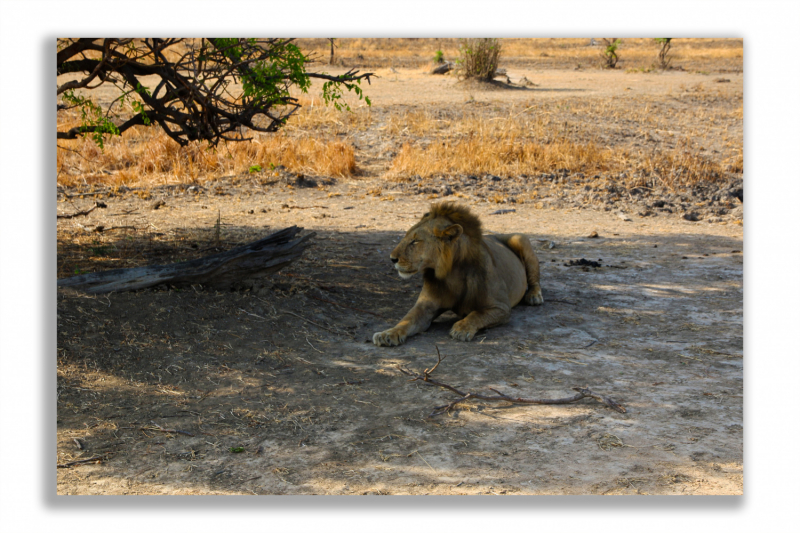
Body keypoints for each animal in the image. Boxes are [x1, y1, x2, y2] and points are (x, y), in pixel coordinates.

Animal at [376, 202, 544, 348]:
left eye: (415, 241)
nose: (392, 258)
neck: (451, 273)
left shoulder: (501, 307)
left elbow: (477, 314)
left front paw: (462, 328)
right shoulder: (425, 306)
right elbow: (407, 319)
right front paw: (388, 334)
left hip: (520, 239)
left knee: (535, 280)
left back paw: (534, 296)